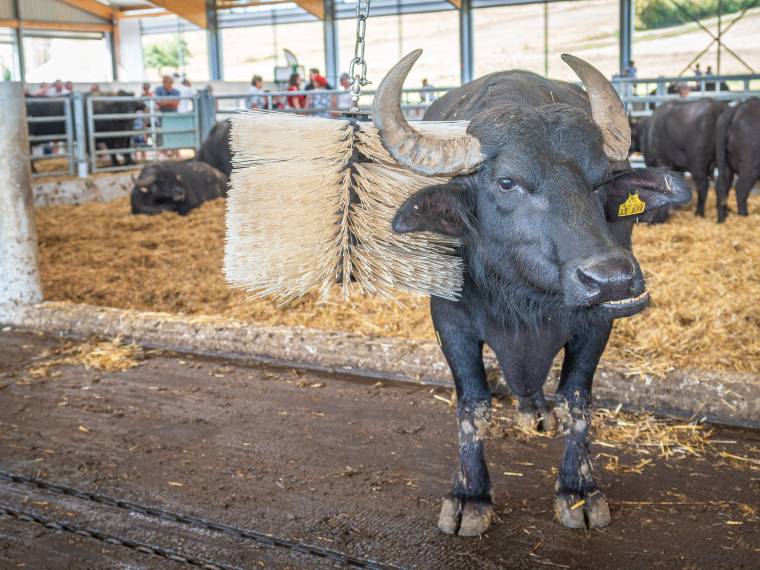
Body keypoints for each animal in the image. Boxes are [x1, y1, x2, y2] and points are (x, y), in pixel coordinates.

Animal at [374, 51, 688, 536]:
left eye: (601, 180)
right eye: (507, 183)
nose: (612, 279)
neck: (523, 297)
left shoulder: (597, 324)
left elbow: (577, 400)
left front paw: (578, 489)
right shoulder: (449, 321)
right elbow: (473, 405)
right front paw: (470, 496)